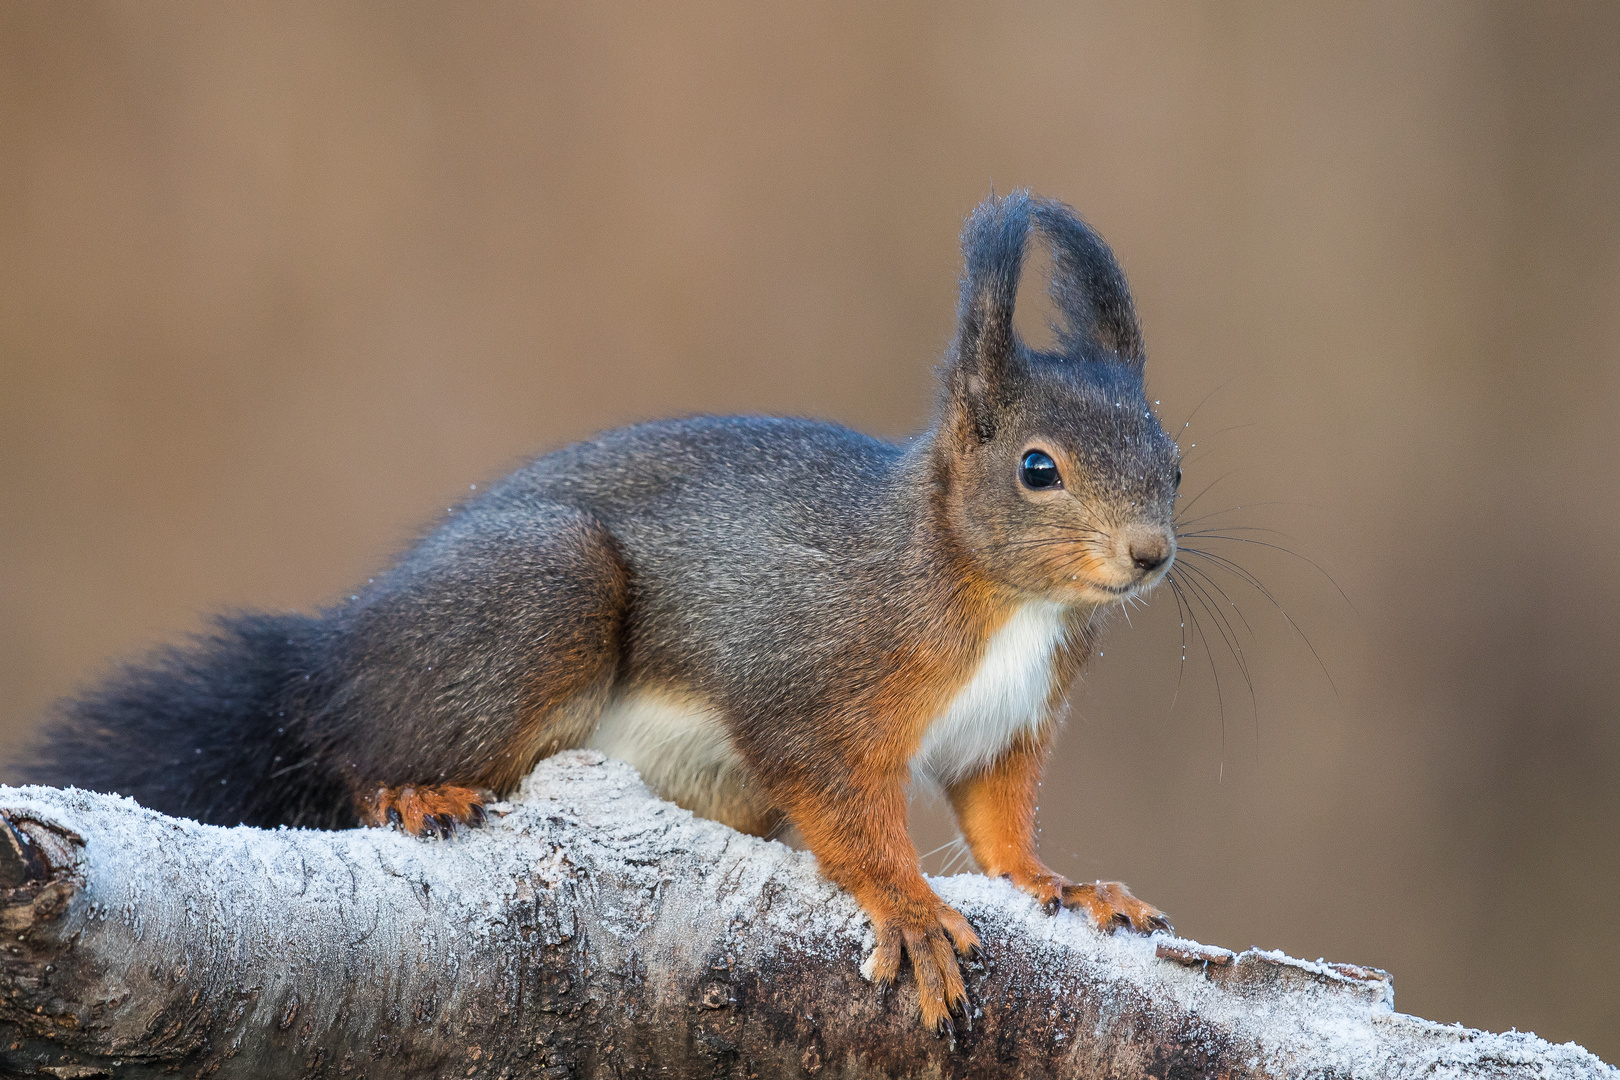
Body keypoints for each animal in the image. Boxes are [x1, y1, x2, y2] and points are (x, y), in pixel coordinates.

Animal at [12, 190, 1179, 1036]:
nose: (1151, 554)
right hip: (540, 594)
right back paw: (413, 790)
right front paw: (909, 908)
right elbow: (846, 810)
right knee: (354, 748)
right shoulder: (808, 678)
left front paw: (1067, 885)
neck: (1007, 601)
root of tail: (328, 656)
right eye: (1037, 468)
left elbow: (997, 821)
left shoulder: (1010, 727)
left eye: (1172, 462)